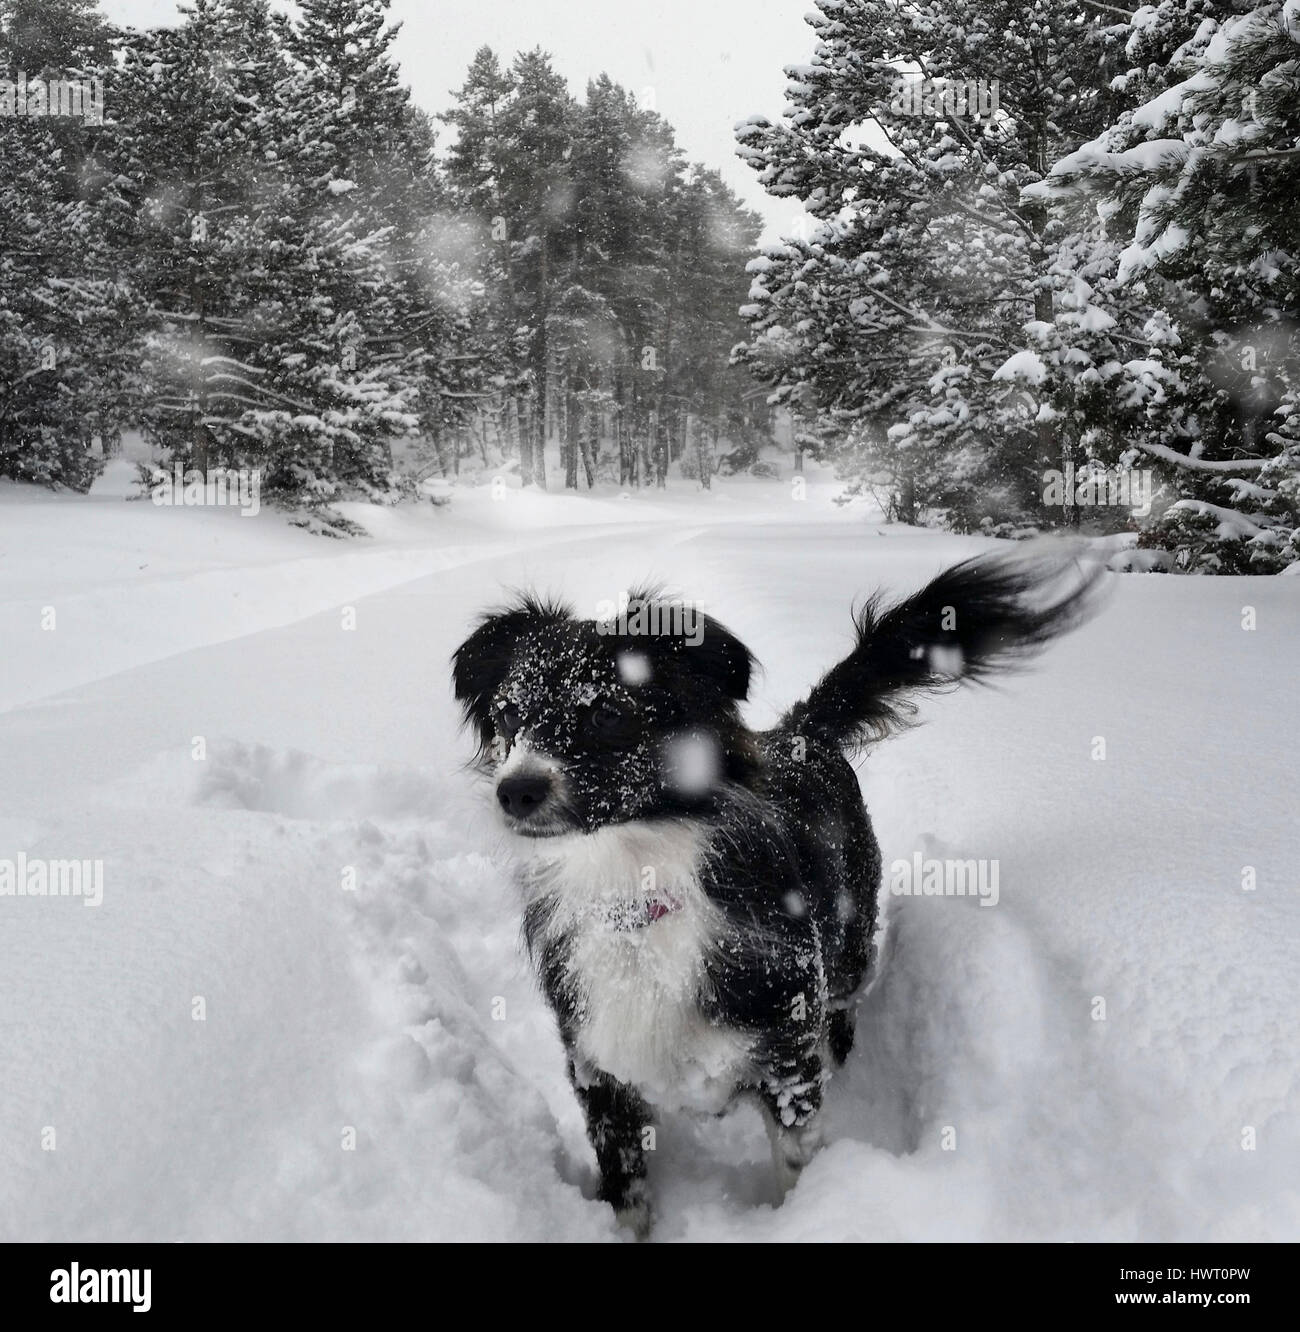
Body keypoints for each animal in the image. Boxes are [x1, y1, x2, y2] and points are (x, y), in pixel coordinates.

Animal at [452, 546, 1102, 1230]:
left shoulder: (785, 1057)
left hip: (847, 947)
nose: (515, 791)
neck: (636, 888)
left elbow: (796, 1162)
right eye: (508, 713)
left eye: (606, 713)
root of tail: (800, 731)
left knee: (842, 1012)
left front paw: (809, 1212)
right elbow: (625, 1188)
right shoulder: (597, 1067)